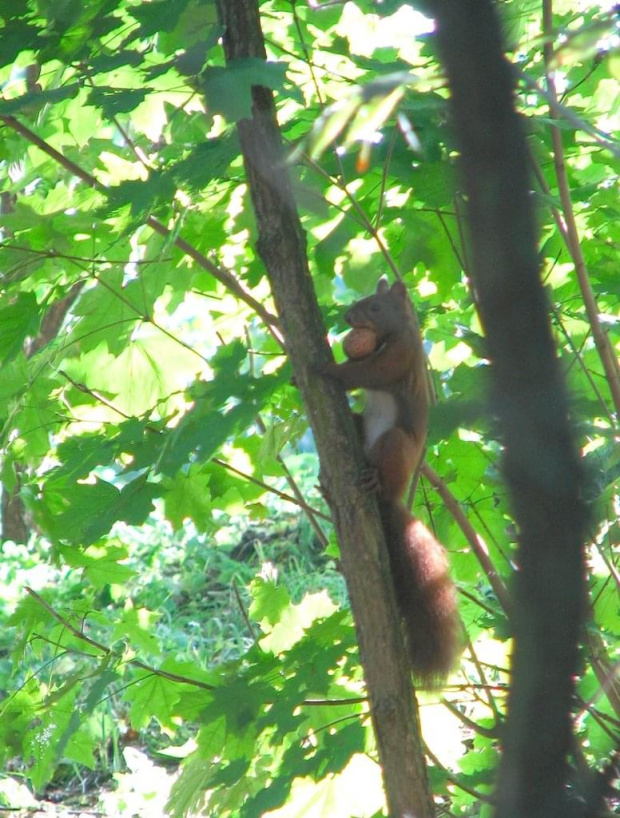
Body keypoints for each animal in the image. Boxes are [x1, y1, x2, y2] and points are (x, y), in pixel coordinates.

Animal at [320, 278, 460, 684]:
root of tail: (394, 499)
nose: (347, 317)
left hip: (394, 445)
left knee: (386, 463)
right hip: (362, 428)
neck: (392, 335)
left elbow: (367, 373)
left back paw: (373, 483)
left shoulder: (400, 357)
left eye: (375, 307)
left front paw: (324, 365)